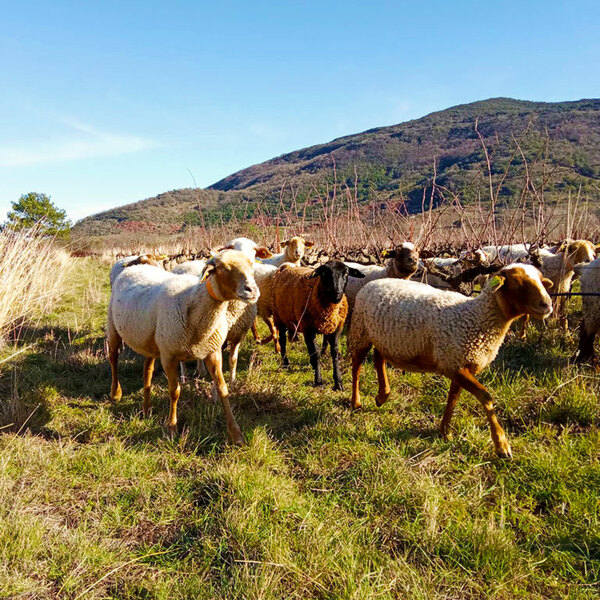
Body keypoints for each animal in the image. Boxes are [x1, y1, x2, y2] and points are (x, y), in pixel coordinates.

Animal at [106, 250, 260, 446]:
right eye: (223, 267)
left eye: (251, 265)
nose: (252, 290)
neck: (194, 303)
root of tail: (136, 266)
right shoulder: (169, 356)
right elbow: (174, 392)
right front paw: (172, 428)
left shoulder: (212, 351)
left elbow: (222, 389)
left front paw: (236, 434)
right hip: (113, 326)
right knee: (113, 358)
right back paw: (116, 393)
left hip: (152, 341)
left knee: (147, 369)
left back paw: (146, 409)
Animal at [274, 262, 366, 390]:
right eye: (324, 274)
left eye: (346, 273)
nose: (337, 293)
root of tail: (286, 267)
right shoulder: (308, 328)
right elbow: (316, 353)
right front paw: (318, 381)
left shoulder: (336, 328)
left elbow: (334, 352)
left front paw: (338, 383)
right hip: (280, 317)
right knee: (283, 341)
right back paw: (286, 364)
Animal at [350, 264, 556, 458]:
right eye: (517, 283)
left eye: (541, 280)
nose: (547, 305)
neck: (477, 317)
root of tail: (376, 281)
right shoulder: (455, 364)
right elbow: (486, 397)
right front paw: (502, 445)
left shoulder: (459, 364)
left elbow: (453, 399)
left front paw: (445, 432)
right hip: (361, 330)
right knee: (357, 366)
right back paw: (356, 402)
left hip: (384, 338)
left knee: (379, 359)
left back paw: (382, 396)